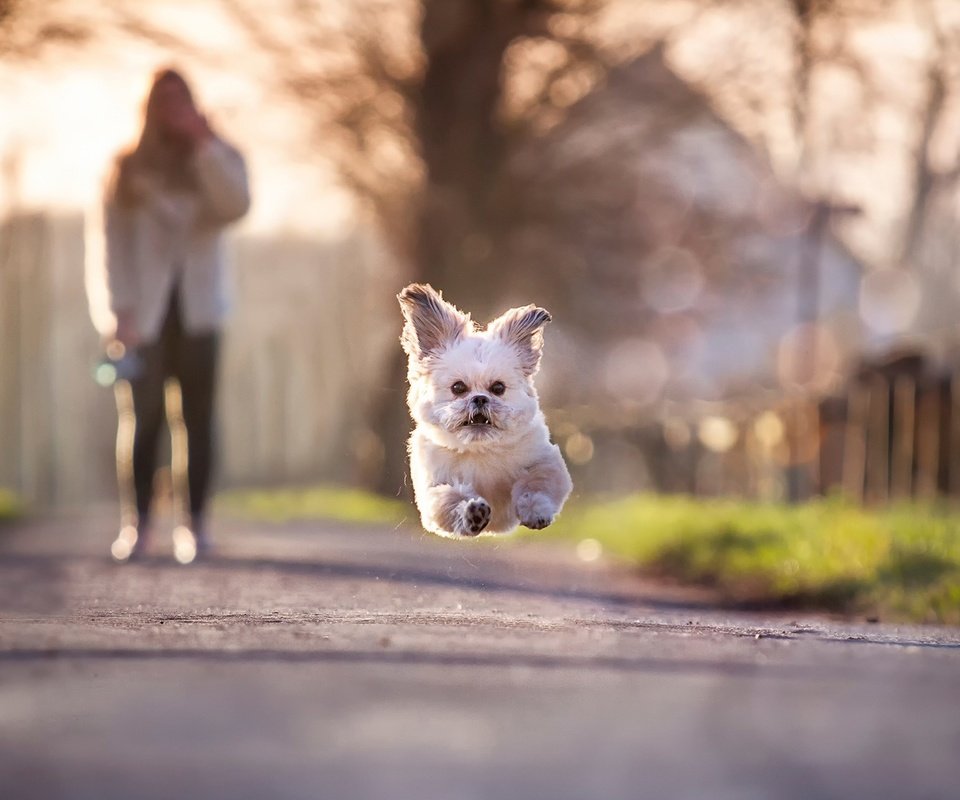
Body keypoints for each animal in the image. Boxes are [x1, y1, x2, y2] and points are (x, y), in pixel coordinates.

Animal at [396, 282, 568, 536]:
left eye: (498, 388)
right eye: (458, 387)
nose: (479, 398)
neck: (480, 448)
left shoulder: (544, 461)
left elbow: (536, 485)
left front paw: (536, 511)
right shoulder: (435, 488)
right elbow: (451, 499)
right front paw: (472, 513)